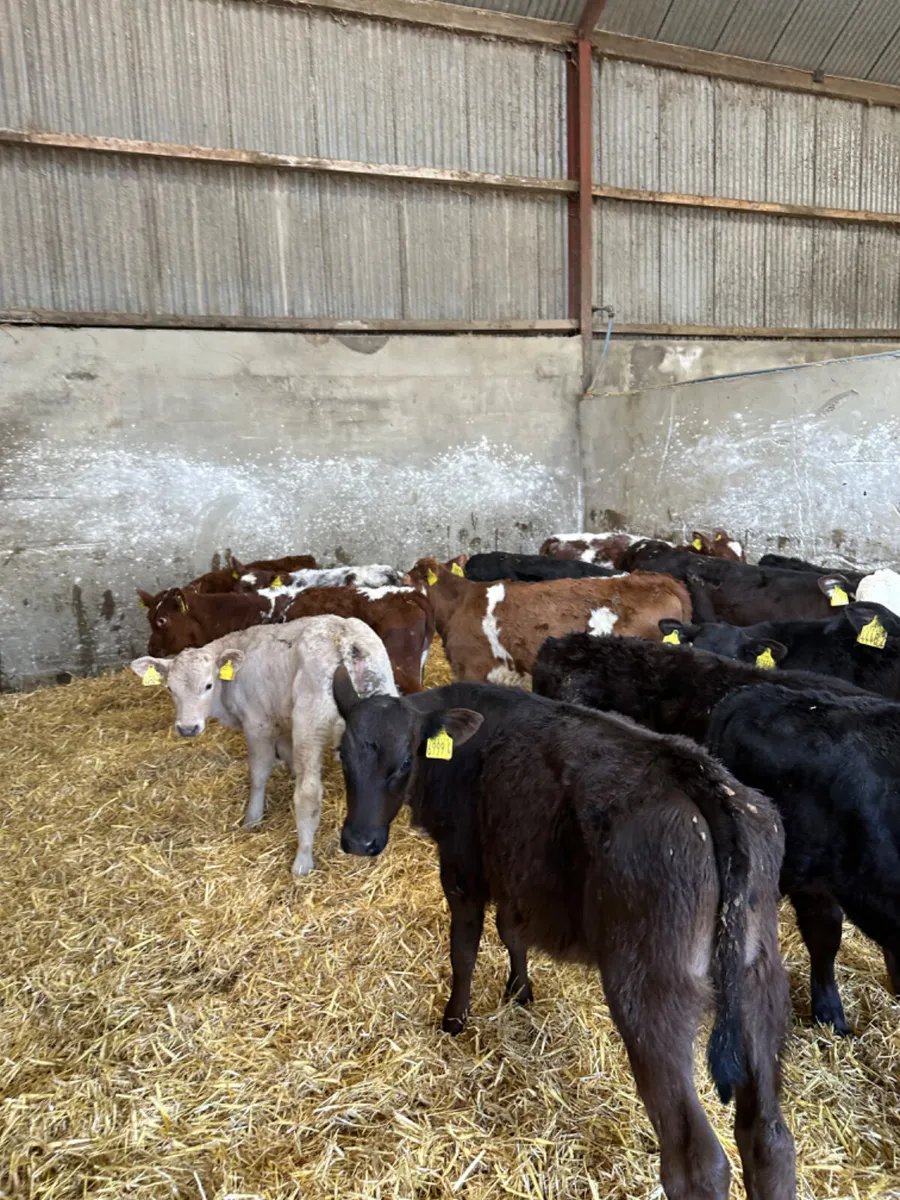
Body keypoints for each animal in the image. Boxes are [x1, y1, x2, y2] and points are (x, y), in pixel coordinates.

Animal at [131, 617, 396, 876]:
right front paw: (291, 773)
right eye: (170, 688)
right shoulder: (282, 718)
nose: (187, 729)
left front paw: (252, 818)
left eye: (208, 685)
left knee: (308, 793)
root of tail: (345, 638)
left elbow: (259, 773)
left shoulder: (258, 724)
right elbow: (287, 751)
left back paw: (303, 860)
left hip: (310, 723)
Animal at [333, 673, 795, 1200]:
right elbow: (512, 931)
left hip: (651, 995)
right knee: (768, 1138)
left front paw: (455, 1019)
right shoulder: (516, 869)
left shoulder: (463, 866)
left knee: (697, 1160)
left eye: (405, 761)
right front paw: (519, 991)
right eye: (342, 756)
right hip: (760, 983)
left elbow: (464, 948)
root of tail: (696, 775)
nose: (359, 840)